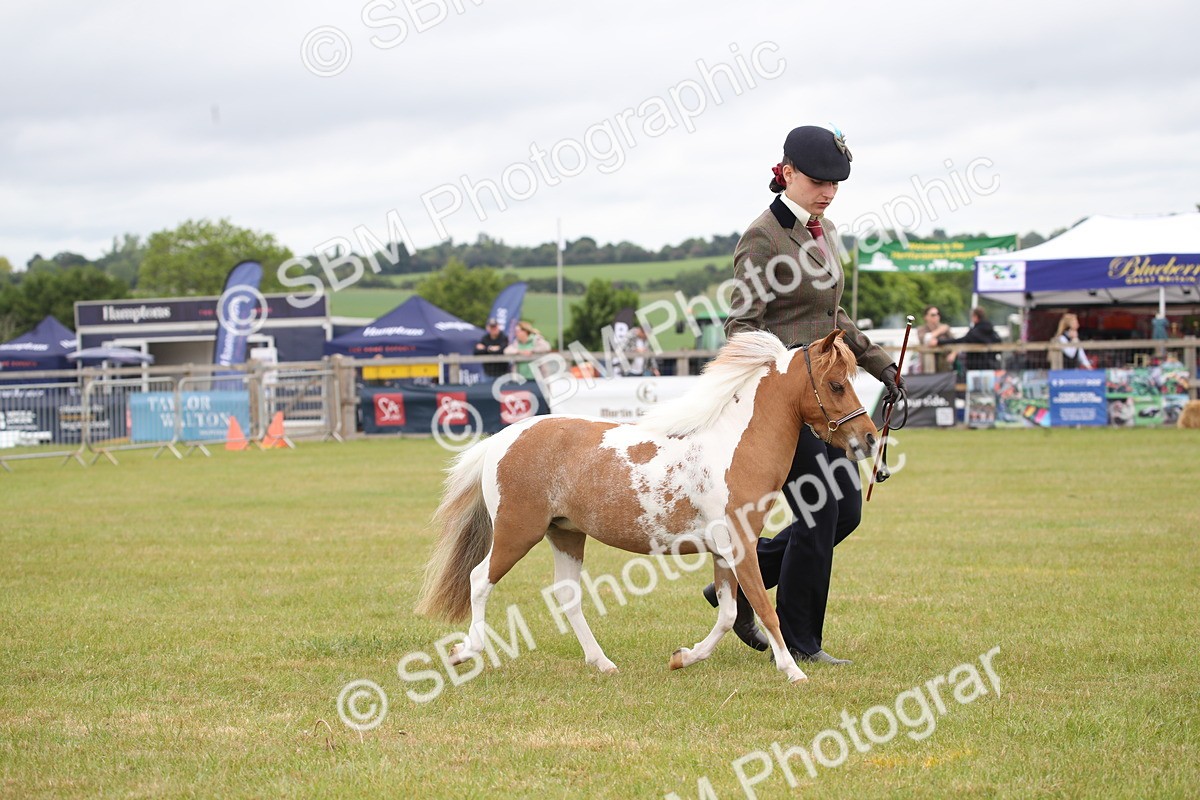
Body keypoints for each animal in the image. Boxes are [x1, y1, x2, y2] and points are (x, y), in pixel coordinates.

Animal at [415, 329, 879, 683]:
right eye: (837, 384)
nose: (870, 438)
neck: (734, 448)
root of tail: (502, 439)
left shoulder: (726, 551)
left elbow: (729, 612)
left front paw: (683, 658)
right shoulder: (741, 545)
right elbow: (765, 609)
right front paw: (793, 671)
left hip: (566, 534)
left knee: (567, 596)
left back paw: (602, 662)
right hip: (517, 532)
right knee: (479, 580)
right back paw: (465, 651)